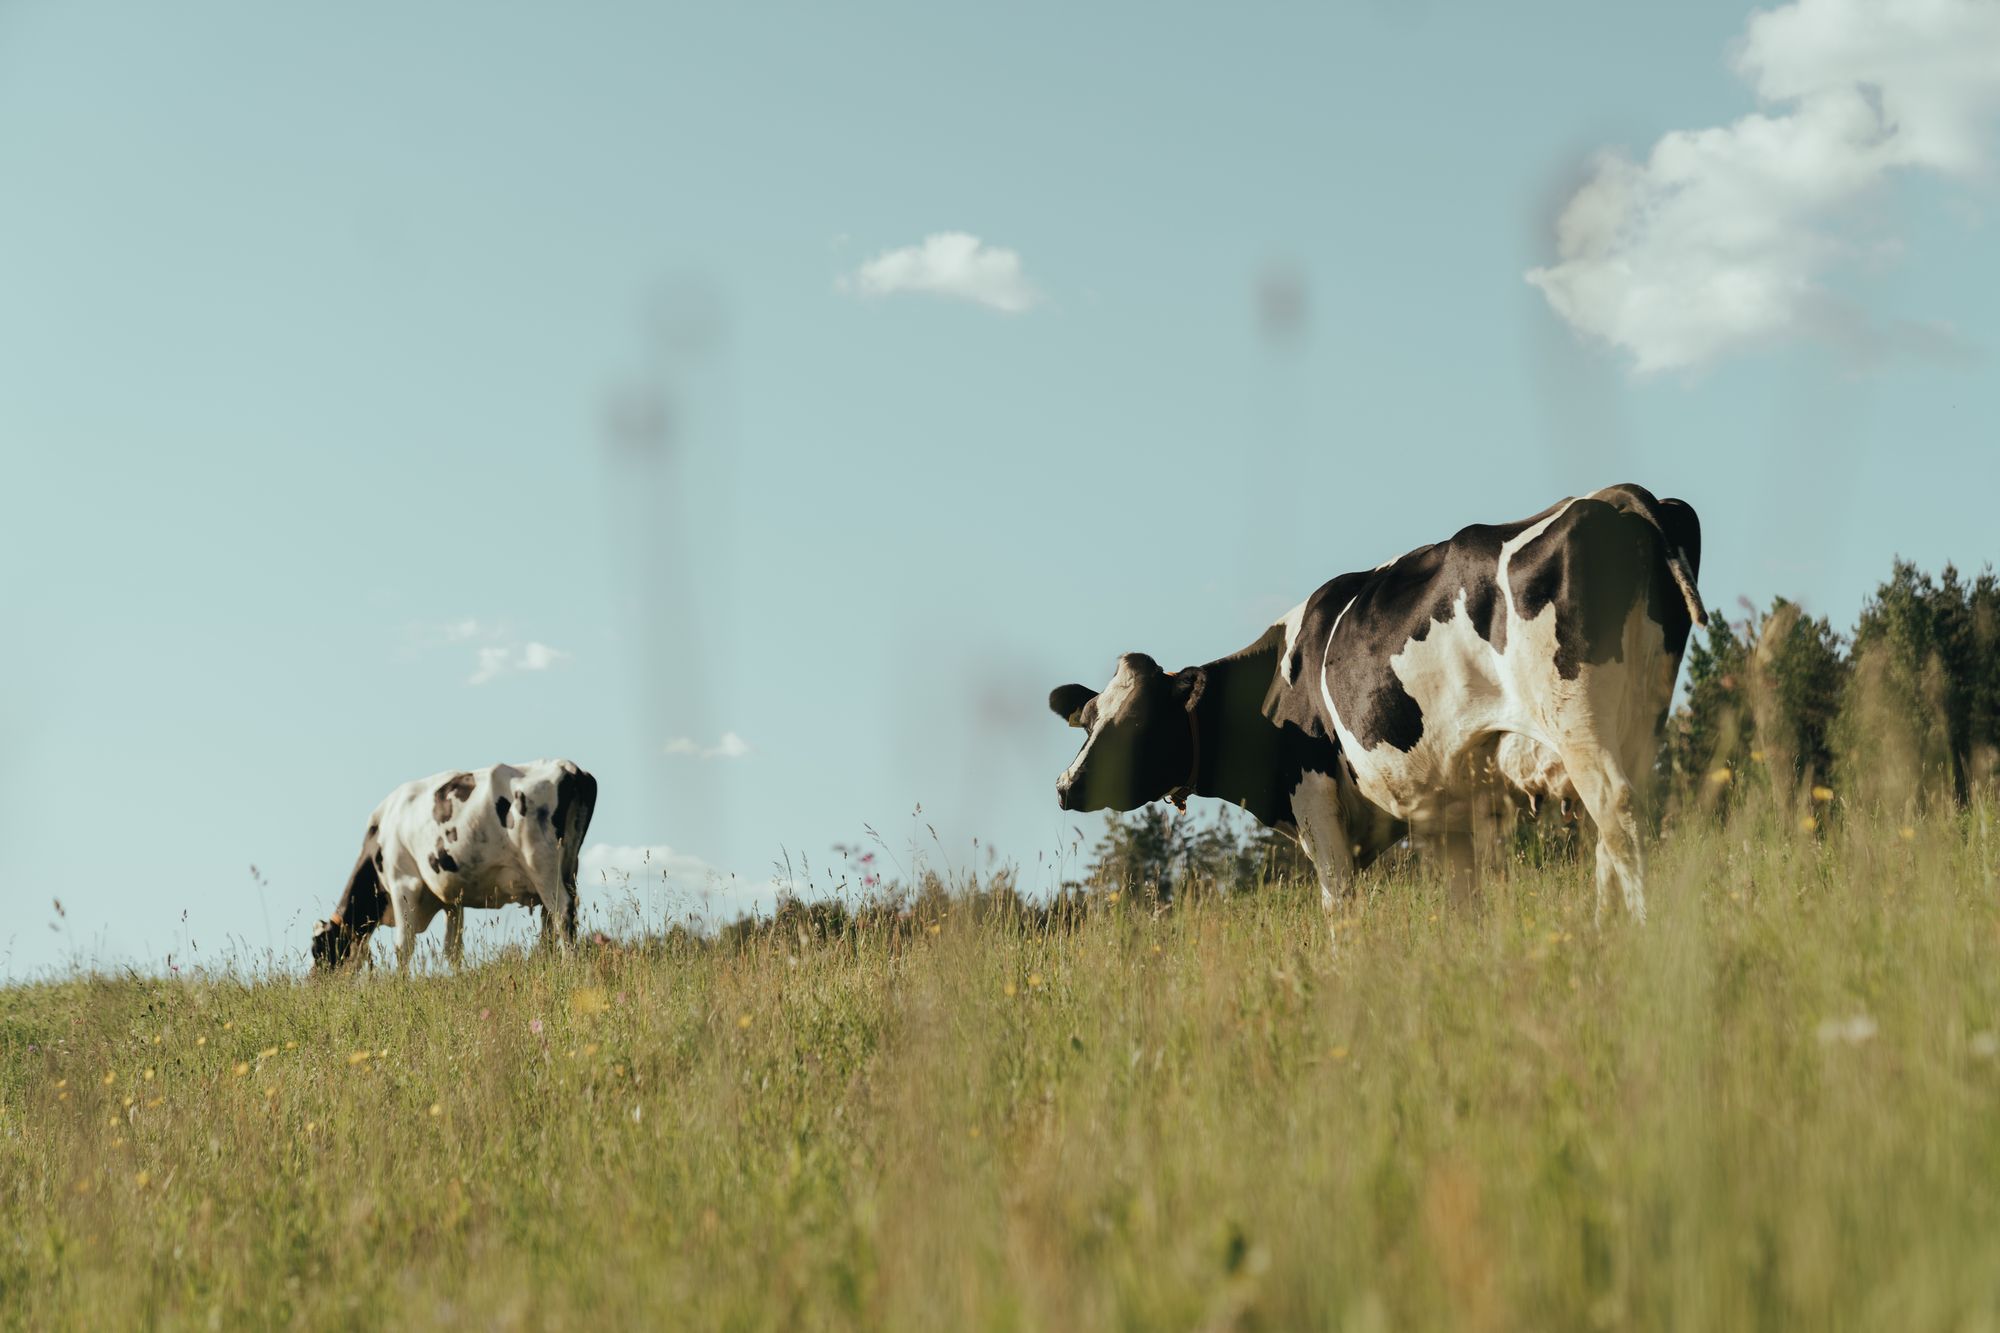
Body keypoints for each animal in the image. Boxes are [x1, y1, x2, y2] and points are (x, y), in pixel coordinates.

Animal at [311, 759, 598, 972]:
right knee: (552, 921)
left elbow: (403, 946)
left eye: (319, 950)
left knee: (562, 912)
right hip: (568, 868)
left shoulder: (403, 883)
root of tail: (569, 767)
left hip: (542, 865)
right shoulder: (451, 900)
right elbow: (452, 949)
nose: (315, 982)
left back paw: (569, 966)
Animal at [1048, 484, 1703, 937]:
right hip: (1640, 715)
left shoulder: (1314, 798)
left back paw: (1639, 932)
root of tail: (1618, 497)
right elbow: (1464, 903)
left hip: (1578, 721)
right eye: (1088, 720)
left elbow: (1339, 906)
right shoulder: (1448, 810)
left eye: (1136, 724)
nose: (1066, 786)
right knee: (1613, 826)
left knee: (1618, 812)